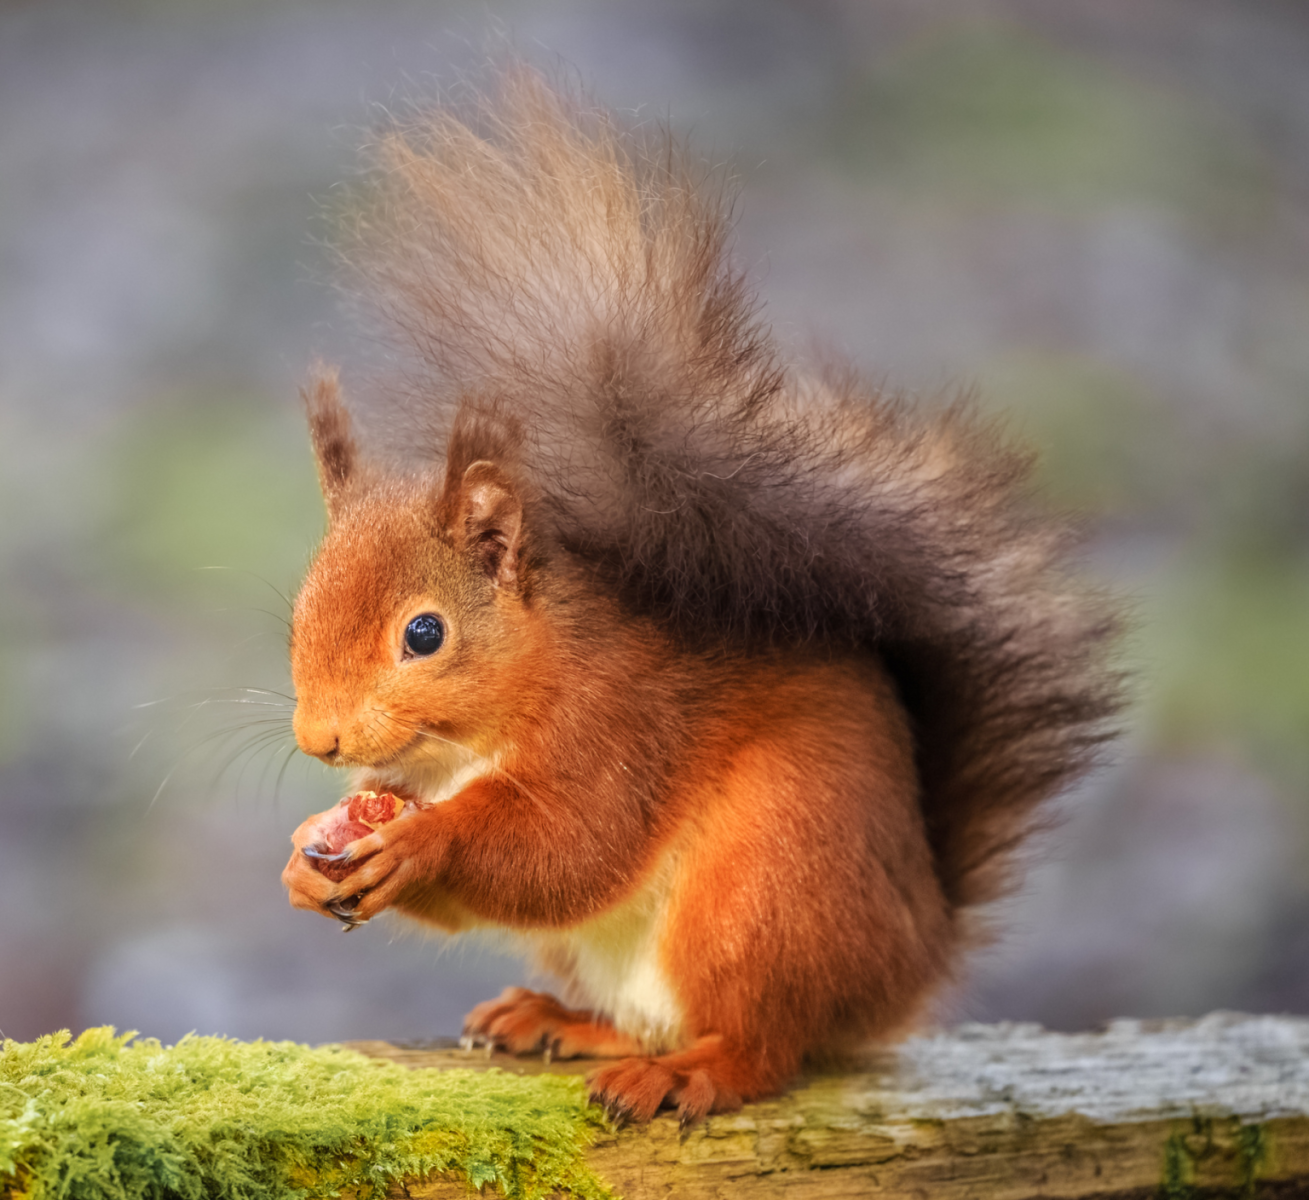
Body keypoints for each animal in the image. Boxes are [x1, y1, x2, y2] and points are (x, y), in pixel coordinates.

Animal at [279, 67, 1123, 1125]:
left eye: (424, 634)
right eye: (298, 612)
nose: (319, 740)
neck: (469, 742)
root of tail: (909, 957)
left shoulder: (622, 725)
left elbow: (570, 849)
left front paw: (418, 844)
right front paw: (308, 858)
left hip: (760, 893)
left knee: (760, 1046)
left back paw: (689, 1073)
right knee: (648, 1019)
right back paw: (560, 1021)